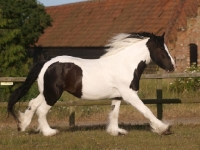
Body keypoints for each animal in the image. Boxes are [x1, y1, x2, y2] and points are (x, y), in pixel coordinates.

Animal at [7, 32, 175, 136]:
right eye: (161, 49)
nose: (173, 67)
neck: (125, 64)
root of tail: (47, 62)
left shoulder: (117, 96)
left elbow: (114, 113)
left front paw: (115, 131)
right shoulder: (130, 95)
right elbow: (146, 110)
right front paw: (164, 128)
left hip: (46, 92)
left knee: (32, 104)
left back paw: (22, 125)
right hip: (53, 94)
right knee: (41, 110)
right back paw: (49, 132)